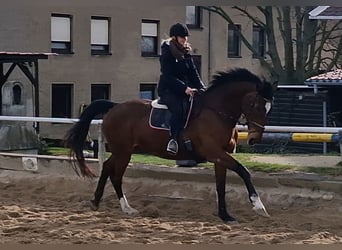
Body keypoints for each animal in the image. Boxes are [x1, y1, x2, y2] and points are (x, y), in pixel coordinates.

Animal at [65, 67, 278, 224]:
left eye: (269, 108)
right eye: (256, 105)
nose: (254, 139)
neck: (216, 112)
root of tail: (114, 106)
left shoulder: (220, 156)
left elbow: (221, 186)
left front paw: (225, 216)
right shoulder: (214, 152)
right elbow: (243, 171)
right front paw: (258, 206)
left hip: (123, 150)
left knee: (107, 168)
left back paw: (96, 201)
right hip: (123, 152)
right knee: (116, 175)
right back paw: (127, 208)